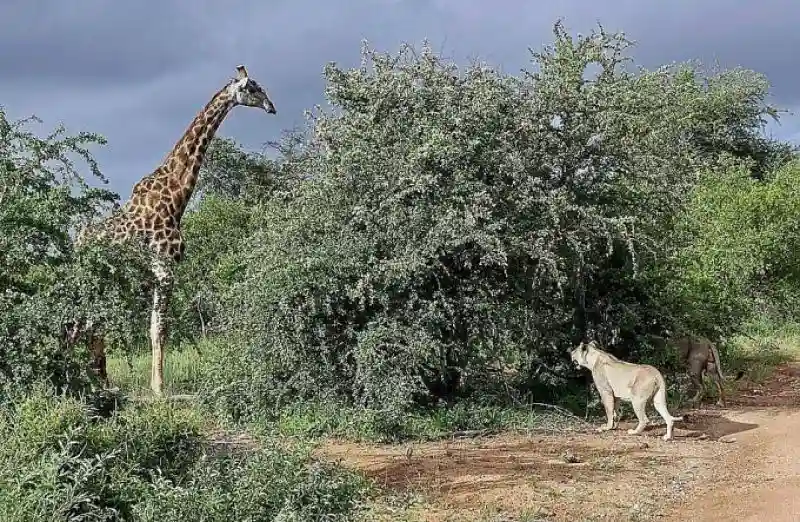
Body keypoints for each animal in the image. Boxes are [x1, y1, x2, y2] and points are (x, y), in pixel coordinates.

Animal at [74, 63, 278, 392]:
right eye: (252, 87)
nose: (271, 107)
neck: (177, 195)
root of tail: (77, 241)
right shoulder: (165, 267)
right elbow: (159, 328)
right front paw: (159, 387)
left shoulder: (160, 271)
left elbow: (155, 327)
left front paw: (155, 384)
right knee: (84, 324)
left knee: (90, 325)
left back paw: (101, 381)